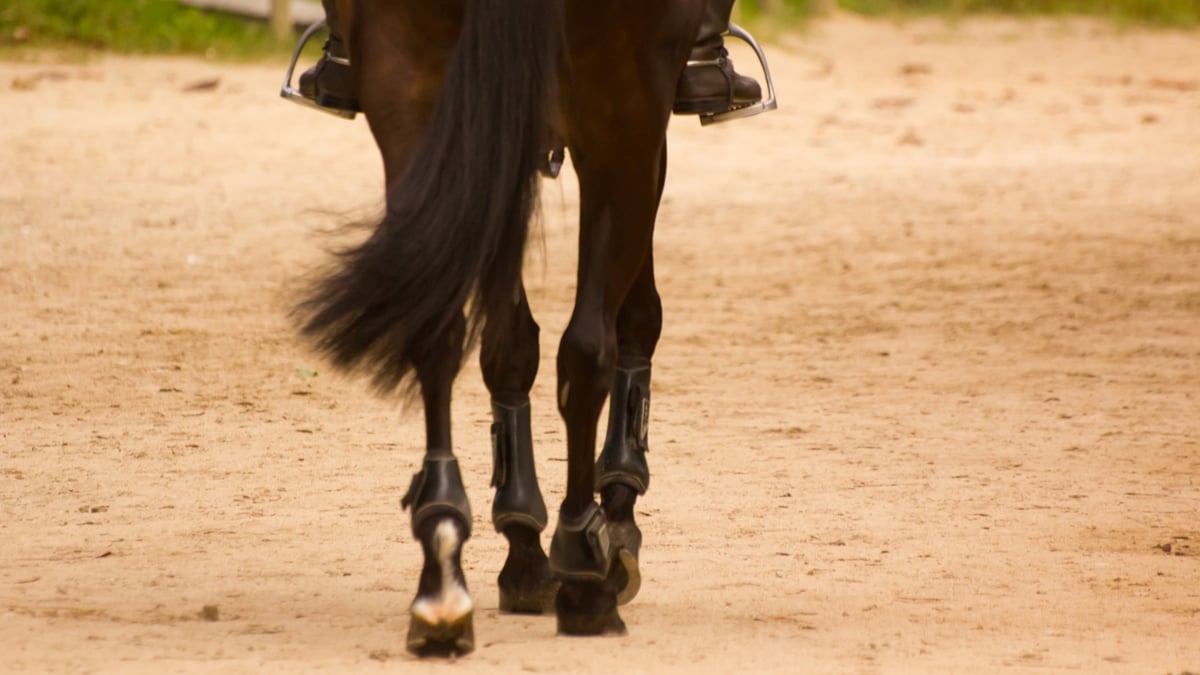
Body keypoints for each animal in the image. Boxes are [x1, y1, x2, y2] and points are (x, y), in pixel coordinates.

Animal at [296, 0, 703, 656]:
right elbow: (631, 318)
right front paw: (614, 515)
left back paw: (442, 577)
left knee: (436, 323)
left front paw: (523, 546)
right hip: (622, 102)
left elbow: (509, 347)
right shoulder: (638, 121)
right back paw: (584, 572)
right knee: (586, 348)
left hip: (408, 79)